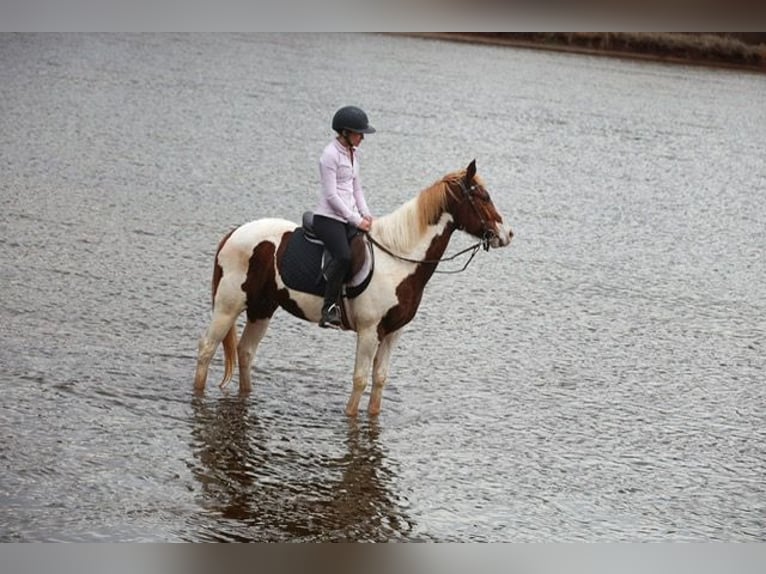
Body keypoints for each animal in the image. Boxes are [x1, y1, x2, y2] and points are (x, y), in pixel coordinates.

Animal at [193, 160, 513, 416]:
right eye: (482, 196)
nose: (507, 234)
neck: (398, 259)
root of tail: (233, 233)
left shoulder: (393, 333)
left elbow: (380, 379)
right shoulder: (369, 332)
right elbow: (360, 380)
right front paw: (351, 417)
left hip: (262, 308)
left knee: (246, 352)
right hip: (228, 307)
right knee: (207, 349)